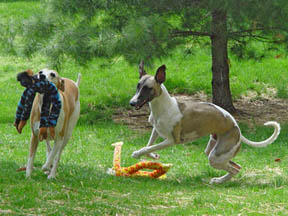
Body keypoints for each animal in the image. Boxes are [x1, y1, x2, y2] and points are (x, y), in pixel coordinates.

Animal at [129, 62, 280, 184]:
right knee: (237, 166)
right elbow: (149, 146)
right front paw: (153, 156)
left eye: (147, 88)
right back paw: (220, 180)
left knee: (234, 169)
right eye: (138, 86)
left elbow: (148, 148)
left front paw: (137, 153)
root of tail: (236, 127)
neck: (162, 107)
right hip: (214, 151)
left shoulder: (172, 140)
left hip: (216, 156)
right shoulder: (156, 129)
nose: (132, 103)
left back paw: (218, 181)